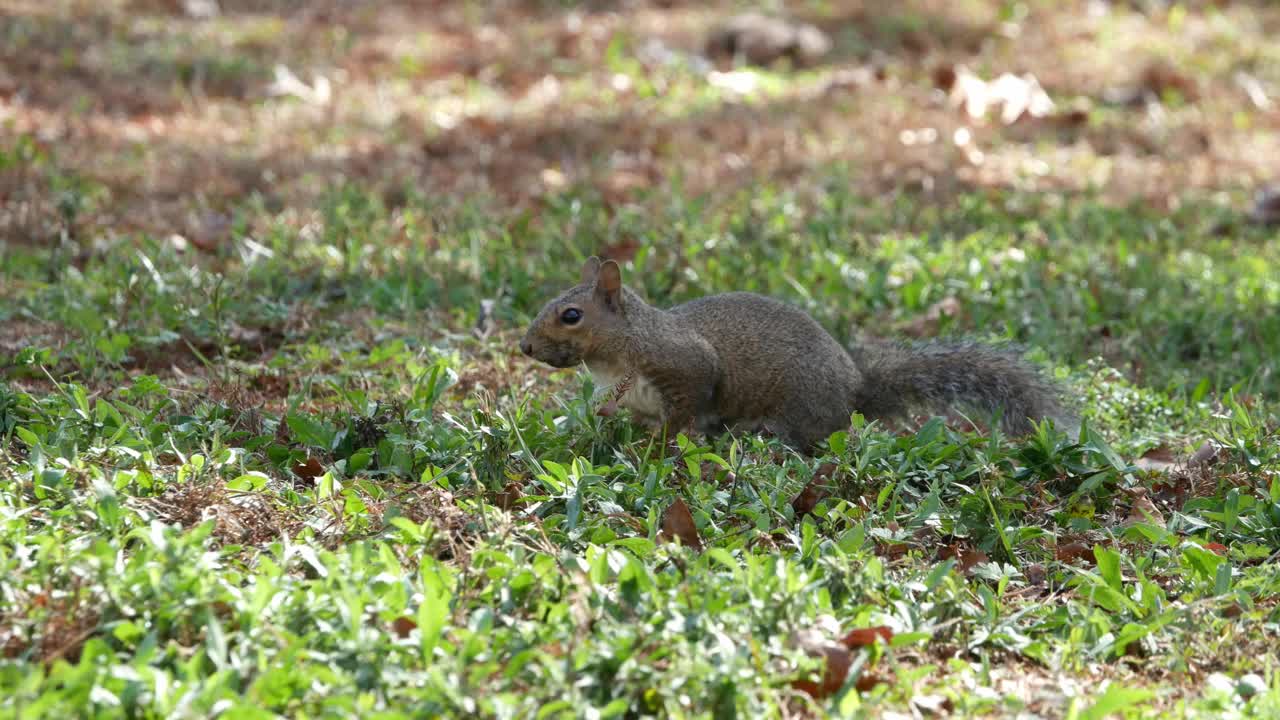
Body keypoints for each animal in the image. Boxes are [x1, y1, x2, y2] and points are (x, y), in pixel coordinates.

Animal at [519, 254, 1070, 450]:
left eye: (571, 315)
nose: (525, 346)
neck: (618, 353)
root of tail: (854, 394)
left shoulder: (685, 367)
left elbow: (686, 410)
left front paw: (657, 448)